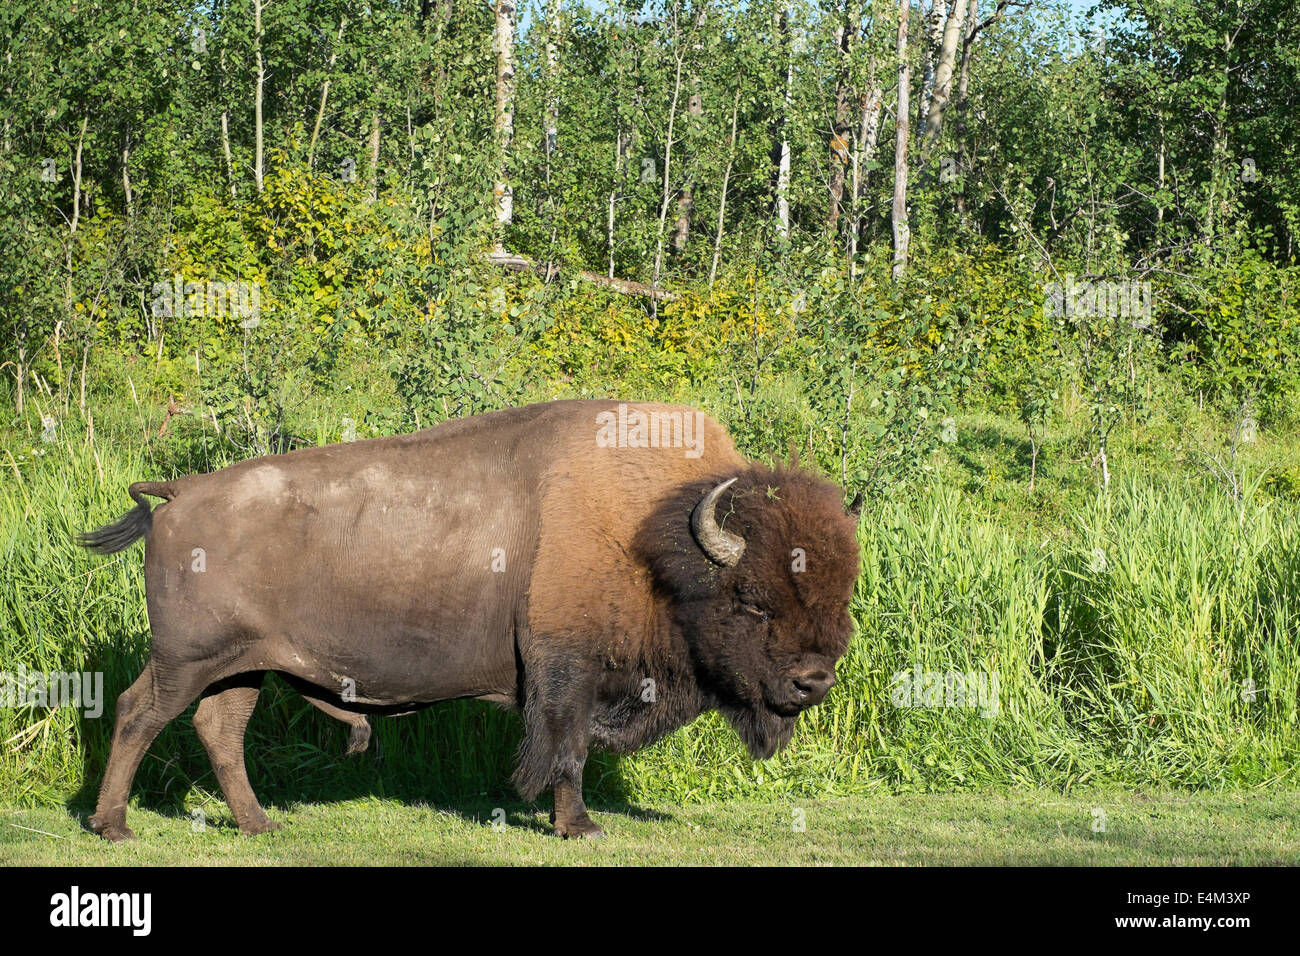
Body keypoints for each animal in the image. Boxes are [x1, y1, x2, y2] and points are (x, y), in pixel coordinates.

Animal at [76, 400, 857, 842]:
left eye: (839, 597)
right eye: (751, 599)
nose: (813, 682)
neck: (653, 535)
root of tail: (179, 493)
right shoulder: (565, 672)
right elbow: (567, 750)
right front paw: (580, 828)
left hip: (241, 667)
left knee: (218, 730)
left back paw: (260, 825)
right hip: (187, 661)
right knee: (139, 714)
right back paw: (113, 828)